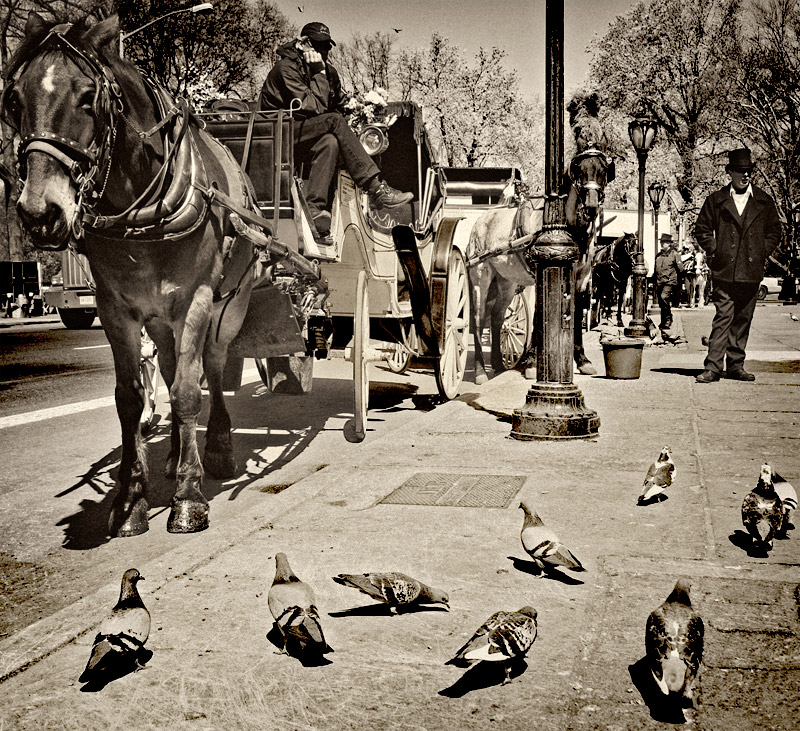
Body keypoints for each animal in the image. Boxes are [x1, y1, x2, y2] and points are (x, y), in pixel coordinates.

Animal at [2, 12, 260, 536]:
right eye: (15, 100)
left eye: (88, 97)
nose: (40, 213)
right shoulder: (115, 309)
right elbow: (130, 398)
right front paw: (130, 499)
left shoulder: (196, 299)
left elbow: (188, 392)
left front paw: (188, 498)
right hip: (159, 320)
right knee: (170, 366)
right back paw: (177, 455)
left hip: (228, 306)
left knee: (213, 366)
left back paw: (216, 448)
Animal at [466, 91, 616, 384]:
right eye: (579, 167)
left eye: (603, 169)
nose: (591, 206)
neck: (571, 227)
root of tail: (480, 221)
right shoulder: (542, 272)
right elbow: (538, 317)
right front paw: (533, 362)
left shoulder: (580, 279)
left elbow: (576, 314)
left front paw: (582, 360)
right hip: (480, 277)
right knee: (478, 320)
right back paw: (479, 370)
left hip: (506, 282)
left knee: (497, 317)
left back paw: (498, 364)